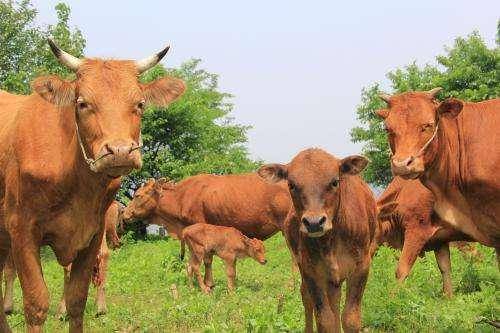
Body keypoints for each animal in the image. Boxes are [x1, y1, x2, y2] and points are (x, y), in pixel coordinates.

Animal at [0, 39, 186, 332]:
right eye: (82, 103)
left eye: (140, 103)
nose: (120, 151)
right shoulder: (21, 230)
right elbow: (36, 303)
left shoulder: (93, 233)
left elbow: (77, 299)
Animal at [258, 148, 376, 332]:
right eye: (291, 185)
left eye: (334, 182)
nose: (314, 223)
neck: (331, 240)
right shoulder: (311, 270)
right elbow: (325, 320)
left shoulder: (362, 266)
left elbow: (350, 319)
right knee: (308, 297)